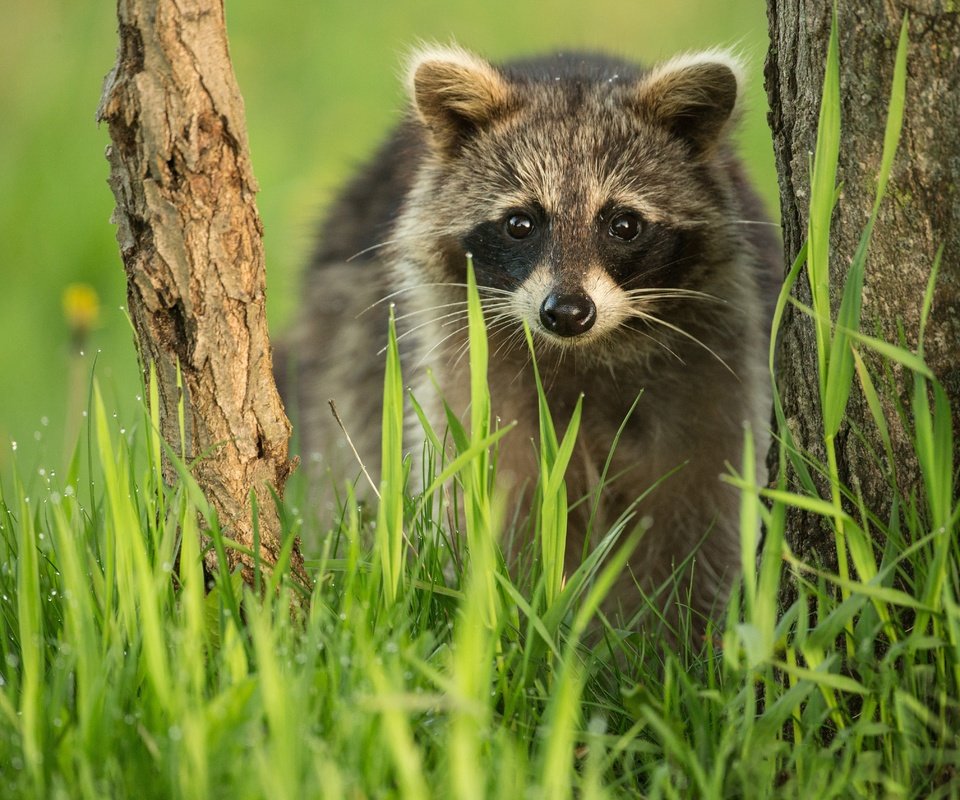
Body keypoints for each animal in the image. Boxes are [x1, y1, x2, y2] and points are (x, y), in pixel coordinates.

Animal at [284, 45, 780, 632]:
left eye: (623, 225)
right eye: (520, 224)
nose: (567, 313)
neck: (586, 352)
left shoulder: (715, 355)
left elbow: (699, 505)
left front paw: (674, 633)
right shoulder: (467, 363)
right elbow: (492, 493)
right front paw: (508, 610)